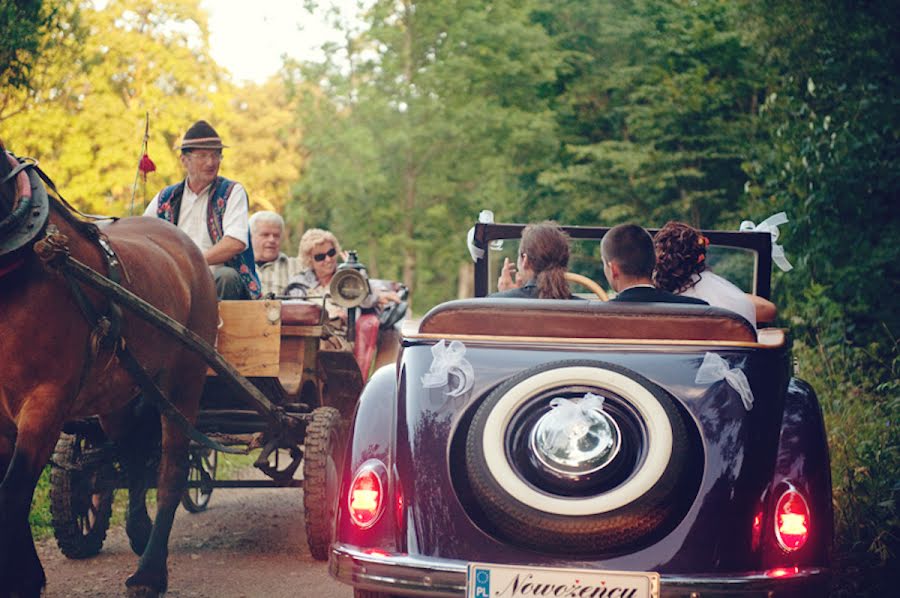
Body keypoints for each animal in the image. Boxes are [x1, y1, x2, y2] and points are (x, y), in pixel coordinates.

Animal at [0, 142, 218, 598]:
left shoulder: (45, 403)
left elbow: (12, 492)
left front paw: (19, 579)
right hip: (120, 393)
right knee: (133, 456)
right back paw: (138, 531)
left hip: (184, 381)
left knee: (171, 470)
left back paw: (149, 573)